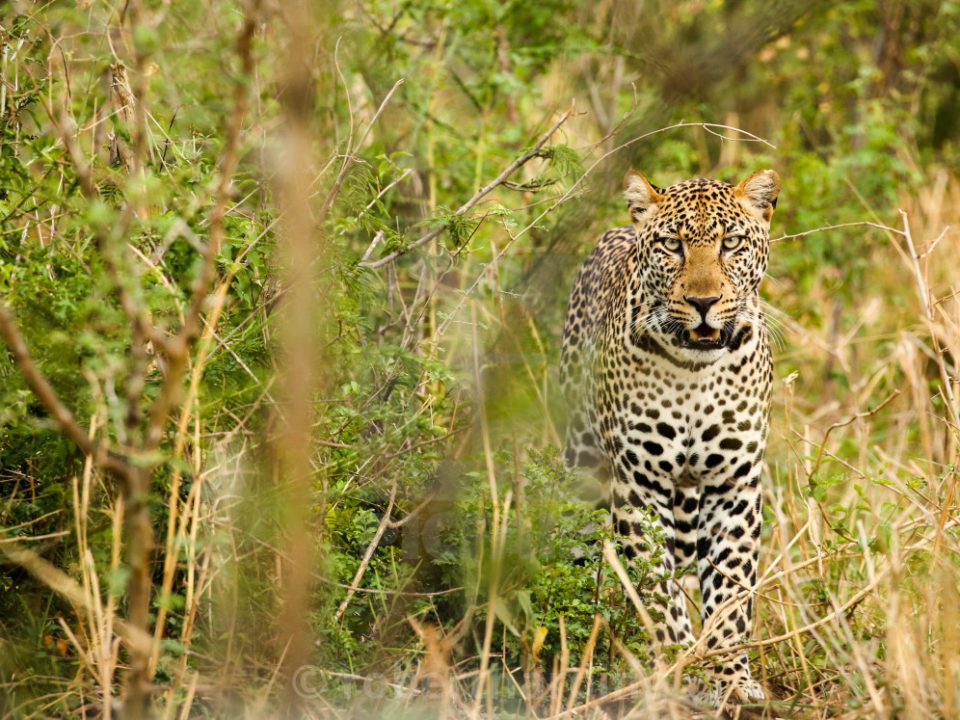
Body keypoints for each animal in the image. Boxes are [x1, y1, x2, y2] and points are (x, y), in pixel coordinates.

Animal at [564, 167, 780, 704]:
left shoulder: (733, 485)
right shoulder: (639, 486)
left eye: (730, 243)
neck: (694, 372)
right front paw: (682, 667)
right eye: (672, 245)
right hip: (581, 466)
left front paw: (729, 676)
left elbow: (731, 590)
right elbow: (656, 591)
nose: (703, 302)